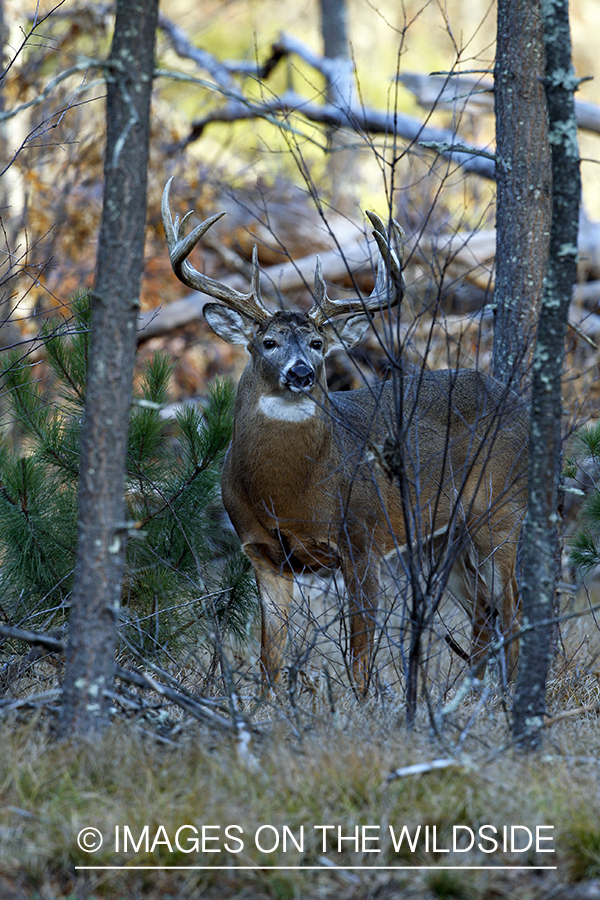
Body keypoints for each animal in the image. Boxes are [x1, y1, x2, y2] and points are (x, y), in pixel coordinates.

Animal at [162, 179, 528, 692]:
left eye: (318, 343)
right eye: (268, 343)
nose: (302, 373)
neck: (289, 494)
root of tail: (516, 399)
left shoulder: (363, 539)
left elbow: (359, 655)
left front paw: (362, 702)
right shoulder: (263, 553)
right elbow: (270, 659)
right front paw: (266, 706)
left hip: (500, 509)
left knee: (511, 609)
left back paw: (504, 696)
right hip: (443, 534)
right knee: (482, 611)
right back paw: (470, 694)